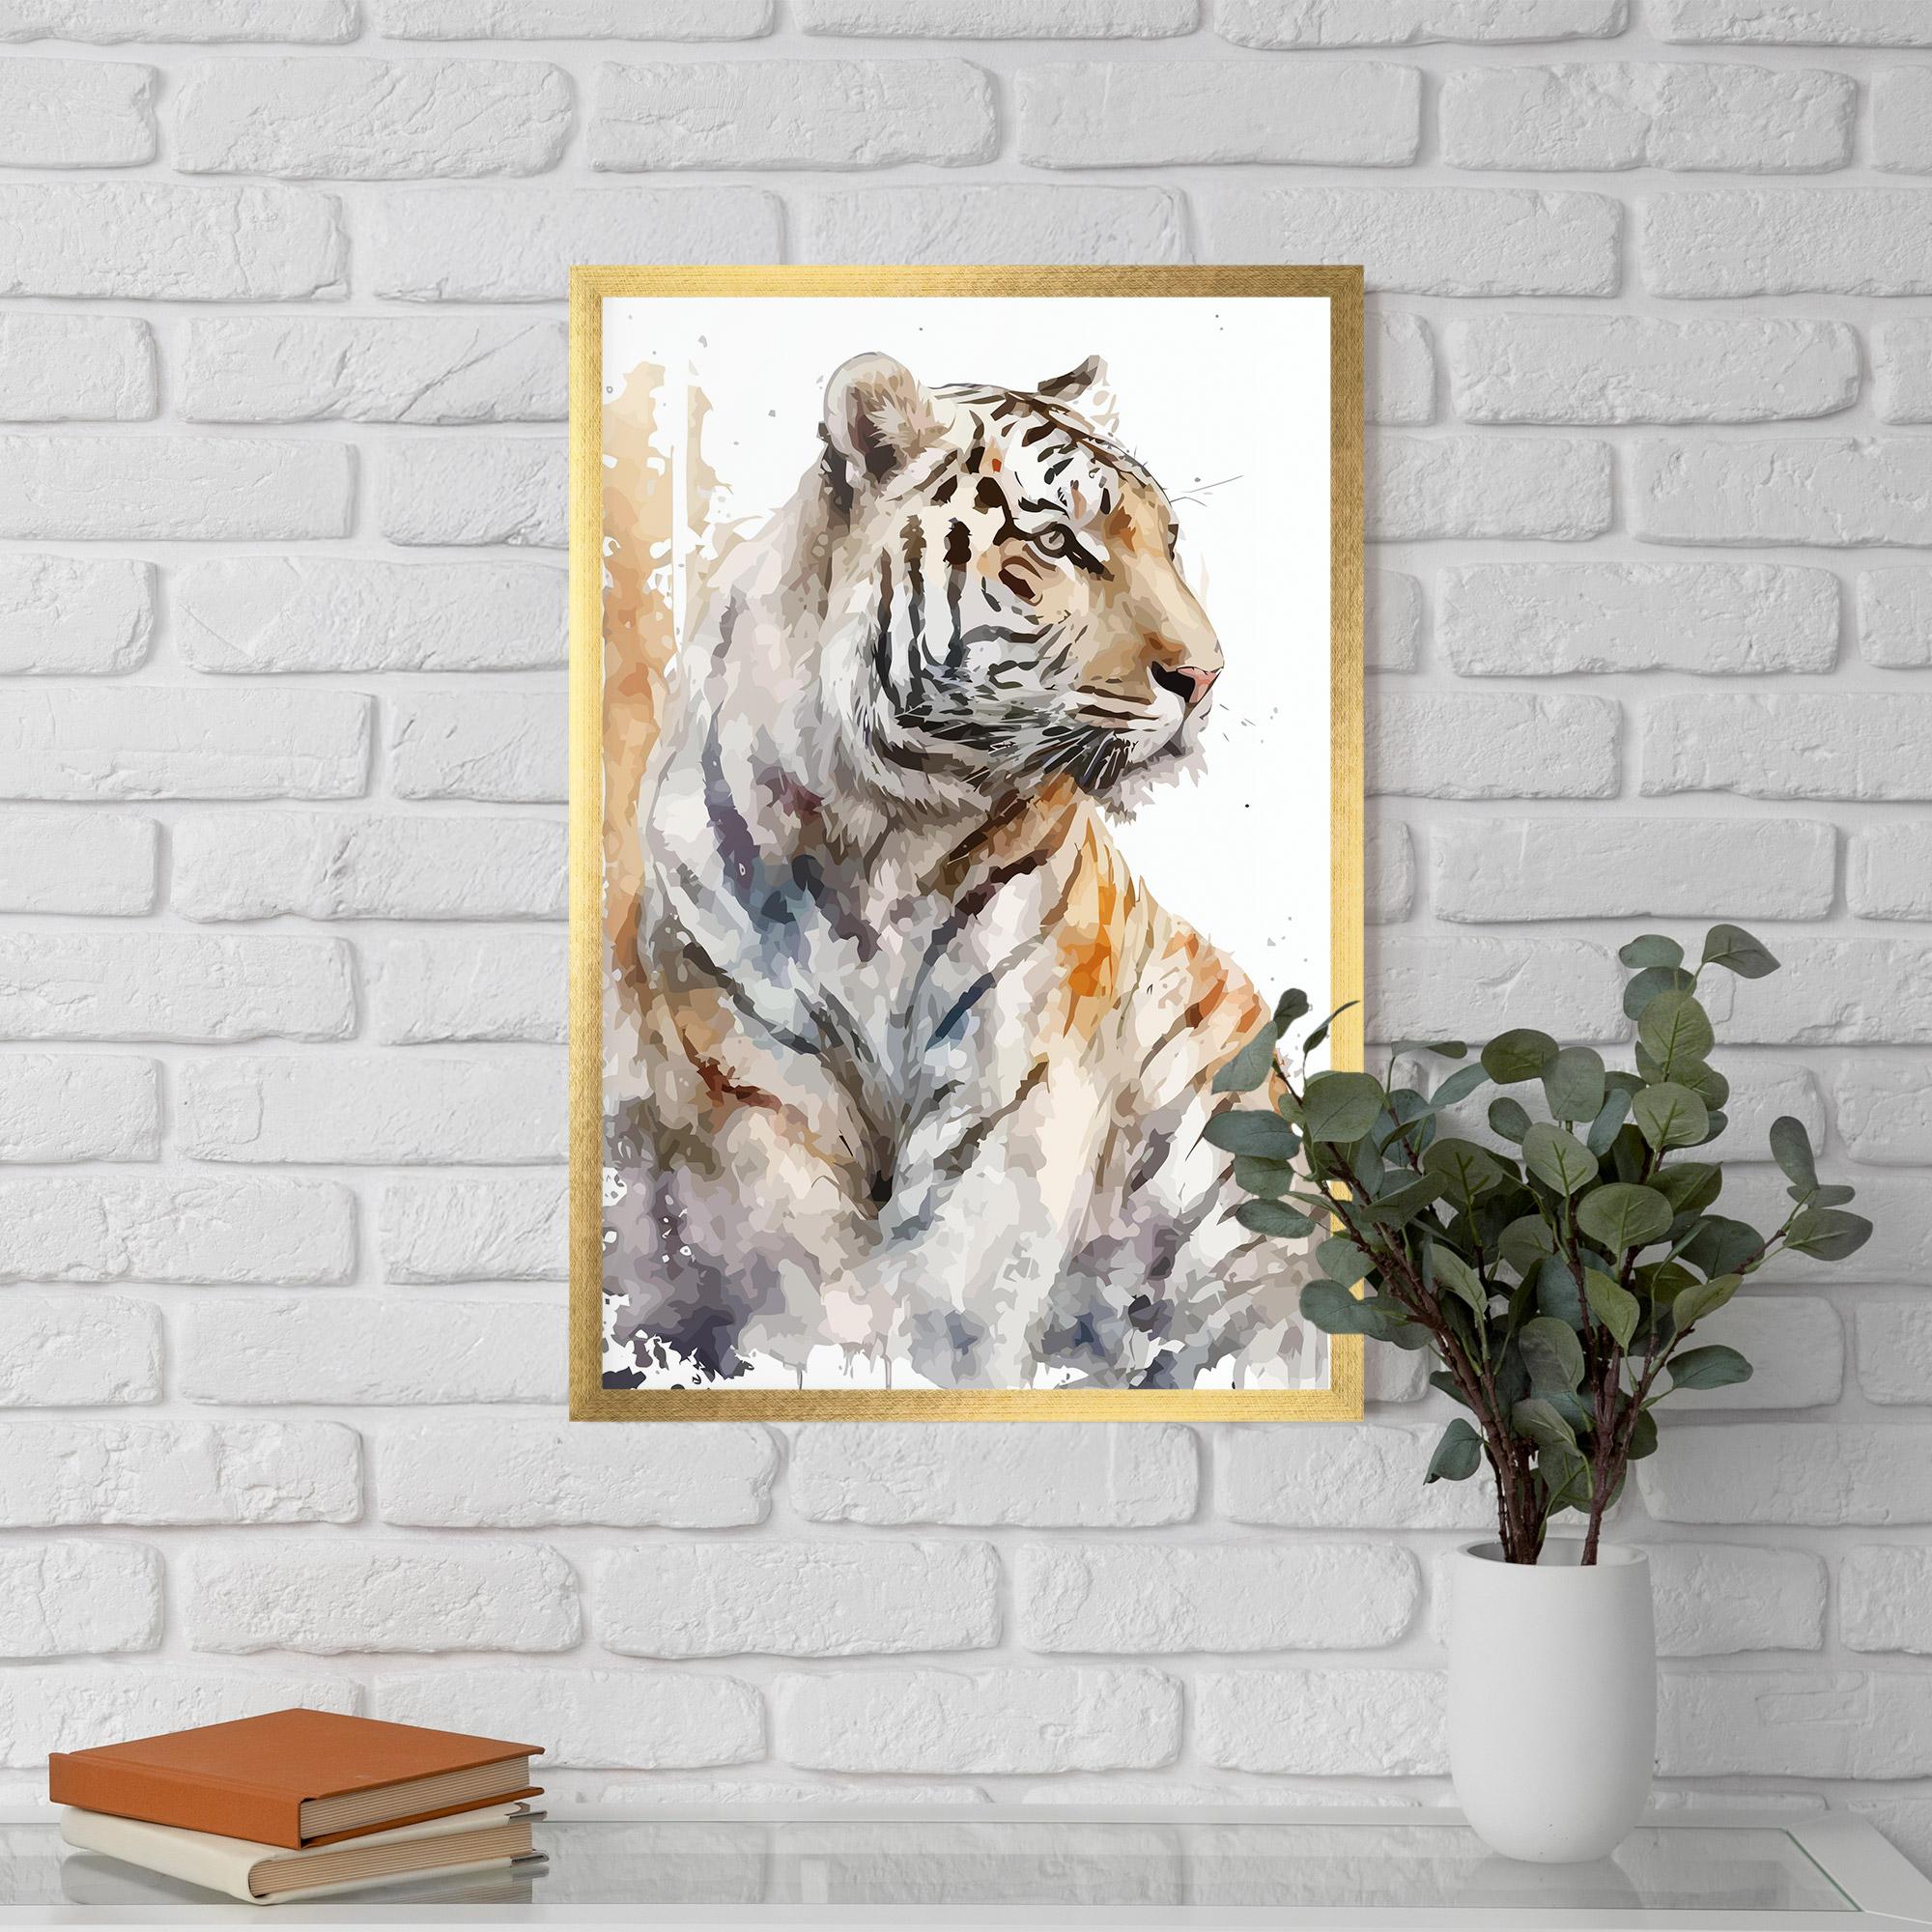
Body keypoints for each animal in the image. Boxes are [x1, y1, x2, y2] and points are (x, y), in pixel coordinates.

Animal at [602, 350, 1317, 1391]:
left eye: (1171, 540)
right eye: (1058, 542)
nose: (1207, 676)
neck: (875, 832)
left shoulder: (1015, 1080)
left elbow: (954, 1311)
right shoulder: (751, 1081)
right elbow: (796, 1286)